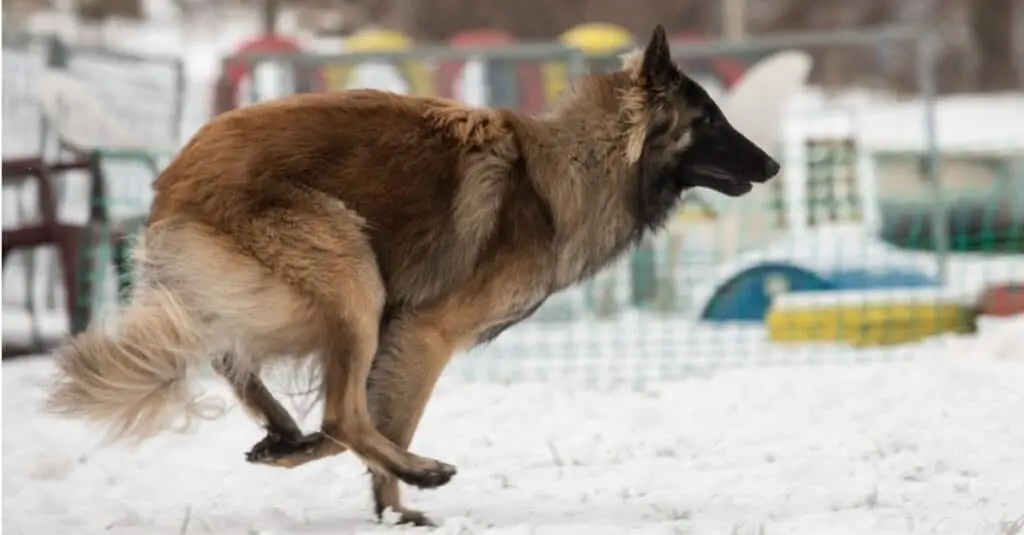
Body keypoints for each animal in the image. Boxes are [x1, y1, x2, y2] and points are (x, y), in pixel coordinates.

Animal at [39, 23, 774, 524]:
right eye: (709, 118)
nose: (771, 165)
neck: (571, 170)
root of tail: (174, 183)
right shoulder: (424, 332)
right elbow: (379, 423)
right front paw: (397, 501)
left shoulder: (399, 335)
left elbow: (366, 420)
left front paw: (382, 509)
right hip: (349, 271)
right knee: (338, 414)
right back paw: (411, 469)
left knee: (235, 360)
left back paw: (282, 431)